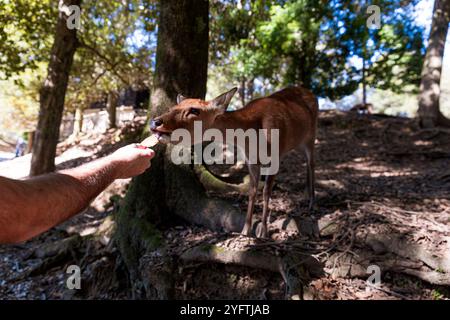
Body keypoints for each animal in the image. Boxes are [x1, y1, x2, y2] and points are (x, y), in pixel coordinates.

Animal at [152, 87, 320, 238]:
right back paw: (306, 195)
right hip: (298, 142)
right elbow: (252, 190)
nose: (155, 122)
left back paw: (312, 203)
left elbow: (266, 192)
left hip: (311, 135)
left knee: (312, 163)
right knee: (306, 163)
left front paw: (263, 231)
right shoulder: (251, 160)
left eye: (194, 110)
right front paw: (246, 230)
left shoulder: (276, 157)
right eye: (172, 107)